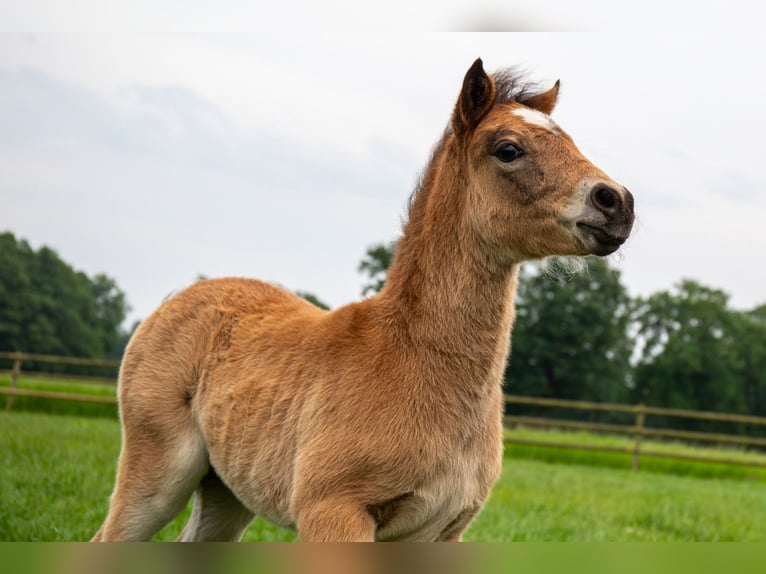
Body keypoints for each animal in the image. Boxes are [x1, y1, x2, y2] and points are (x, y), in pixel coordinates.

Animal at [91, 58, 636, 544]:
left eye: (571, 139)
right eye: (507, 149)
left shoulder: (441, 530)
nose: (617, 203)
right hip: (158, 472)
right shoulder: (334, 512)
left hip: (226, 491)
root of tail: (177, 299)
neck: (410, 361)